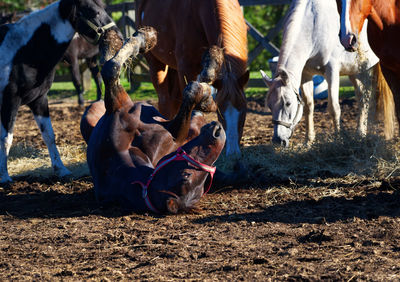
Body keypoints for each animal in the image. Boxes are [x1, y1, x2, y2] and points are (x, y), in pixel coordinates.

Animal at [0, 0, 122, 183]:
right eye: (93, 11)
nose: (118, 35)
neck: (23, 51)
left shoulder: (39, 100)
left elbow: (49, 136)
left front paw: (61, 170)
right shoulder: (10, 101)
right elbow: (6, 139)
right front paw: (4, 177)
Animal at [81, 28, 227, 214]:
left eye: (201, 184)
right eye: (185, 176)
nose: (217, 132)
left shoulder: (175, 132)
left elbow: (112, 68)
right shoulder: (177, 131)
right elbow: (112, 67)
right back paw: (110, 39)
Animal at [138, 0, 250, 159]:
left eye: (244, 111)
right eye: (220, 114)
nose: (233, 153)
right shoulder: (187, 68)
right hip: (156, 63)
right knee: (165, 100)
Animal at [260, 0, 394, 147]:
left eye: (288, 103)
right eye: (269, 105)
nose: (278, 140)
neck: (313, 26)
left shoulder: (332, 71)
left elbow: (334, 108)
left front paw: (338, 139)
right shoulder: (306, 75)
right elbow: (308, 106)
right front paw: (308, 141)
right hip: (355, 71)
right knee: (362, 96)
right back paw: (361, 133)